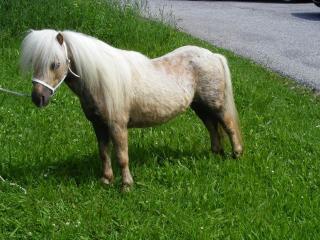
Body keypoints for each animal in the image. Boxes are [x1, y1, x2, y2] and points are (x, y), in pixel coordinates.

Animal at [20, 29, 242, 190]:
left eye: (55, 64)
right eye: (35, 63)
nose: (38, 98)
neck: (100, 81)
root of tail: (213, 55)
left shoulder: (117, 125)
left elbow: (121, 156)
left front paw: (126, 186)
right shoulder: (98, 126)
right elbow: (104, 153)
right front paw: (106, 180)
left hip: (215, 105)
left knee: (228, 126)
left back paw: (236, 155)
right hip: (200, 107)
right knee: (213, 128)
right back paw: (215, 154)